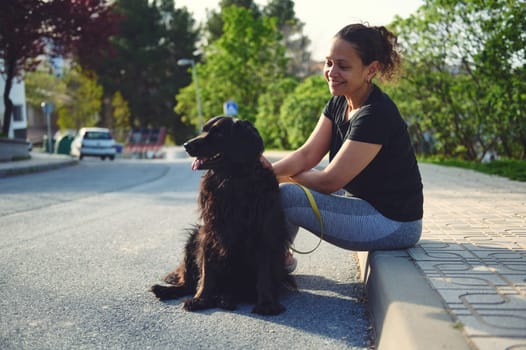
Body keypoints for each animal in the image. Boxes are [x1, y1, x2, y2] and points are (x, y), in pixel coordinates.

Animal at [152, 116, 296, 316]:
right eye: (203, 130)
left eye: (218, 133)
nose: (186, 145)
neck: (232, 178)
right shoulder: (210, 231)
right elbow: (206, 271)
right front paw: (200, 299)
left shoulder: (264, 231)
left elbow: (264, 271)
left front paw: (267, 303)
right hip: (193, 238)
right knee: (188, 283)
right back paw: (166, 290)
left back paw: (226, 298)